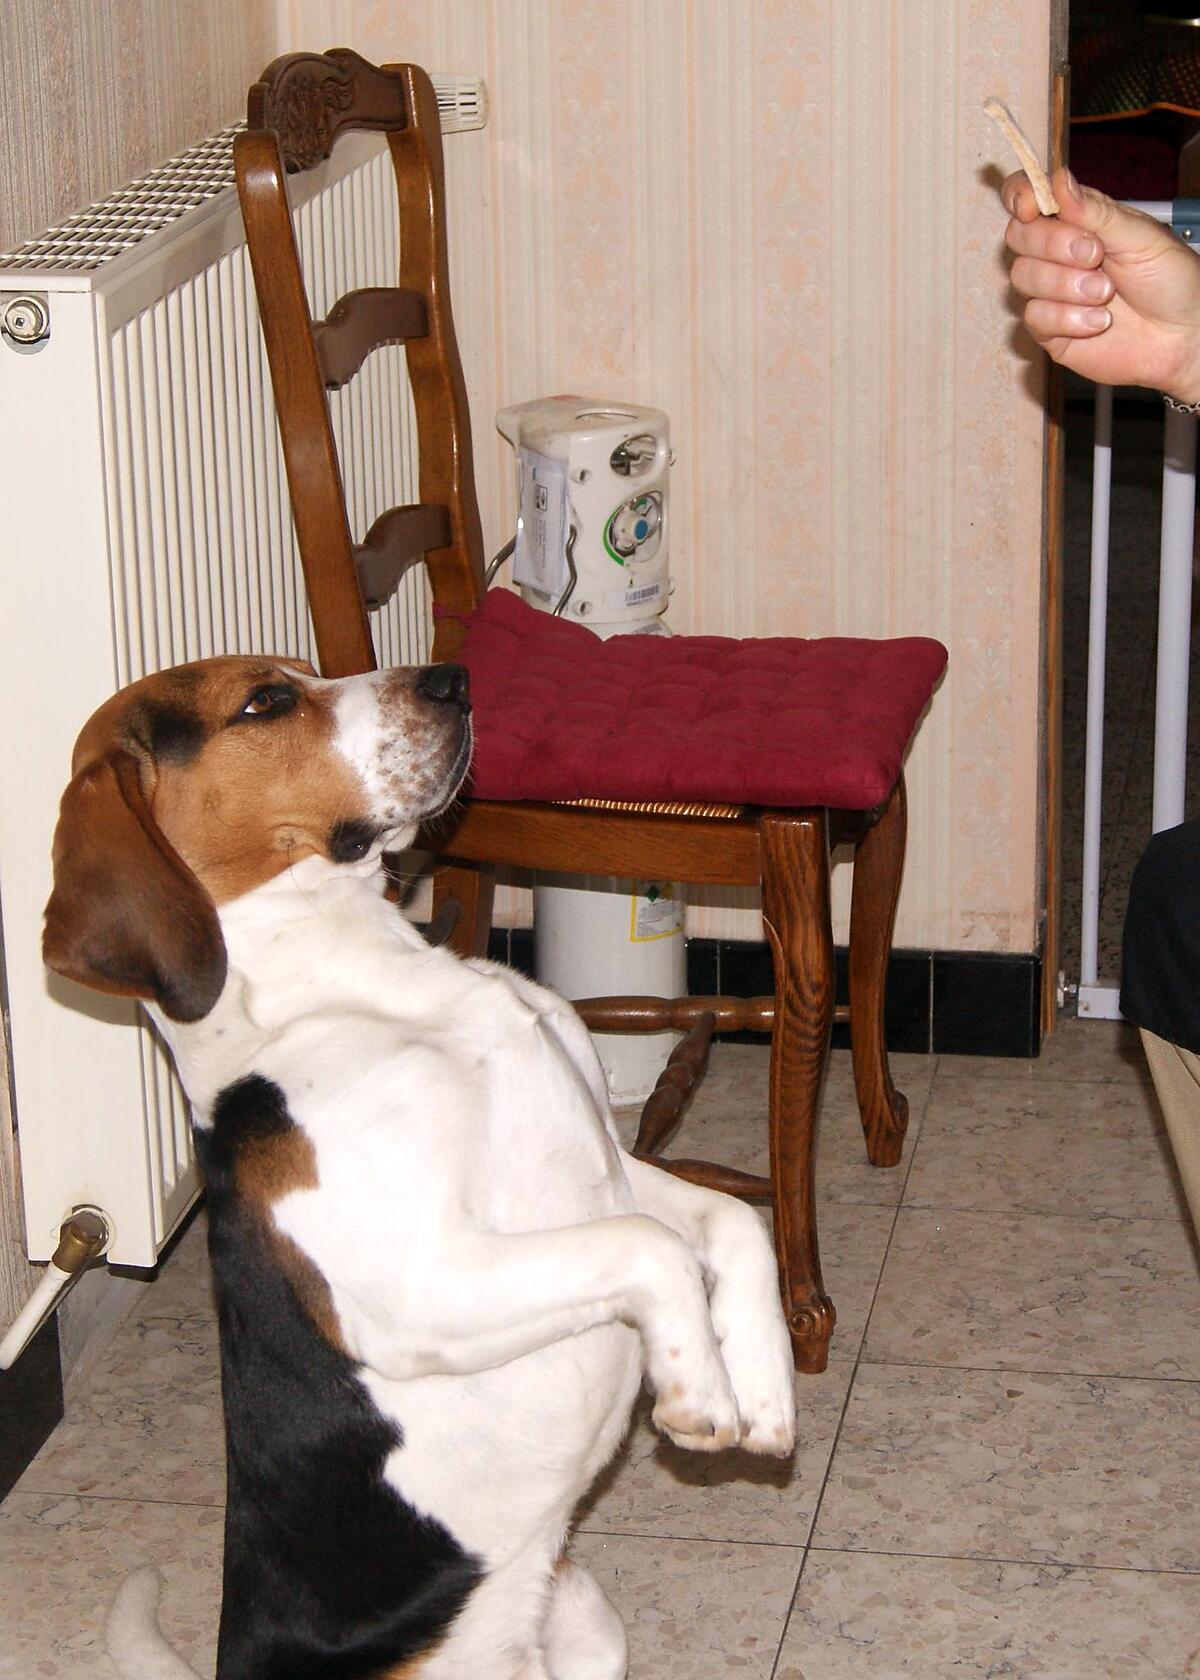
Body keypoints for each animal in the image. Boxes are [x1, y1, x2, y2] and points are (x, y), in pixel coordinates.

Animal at [43, 653, 796, 1680]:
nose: (453, 677)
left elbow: (736, 1222)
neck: (380, 986)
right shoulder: (420, 1287)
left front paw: (762, 1388)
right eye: (265, 701)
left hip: (591, 1627)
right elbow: (651, 1248)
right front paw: (698, 1393)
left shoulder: (607, 1162)